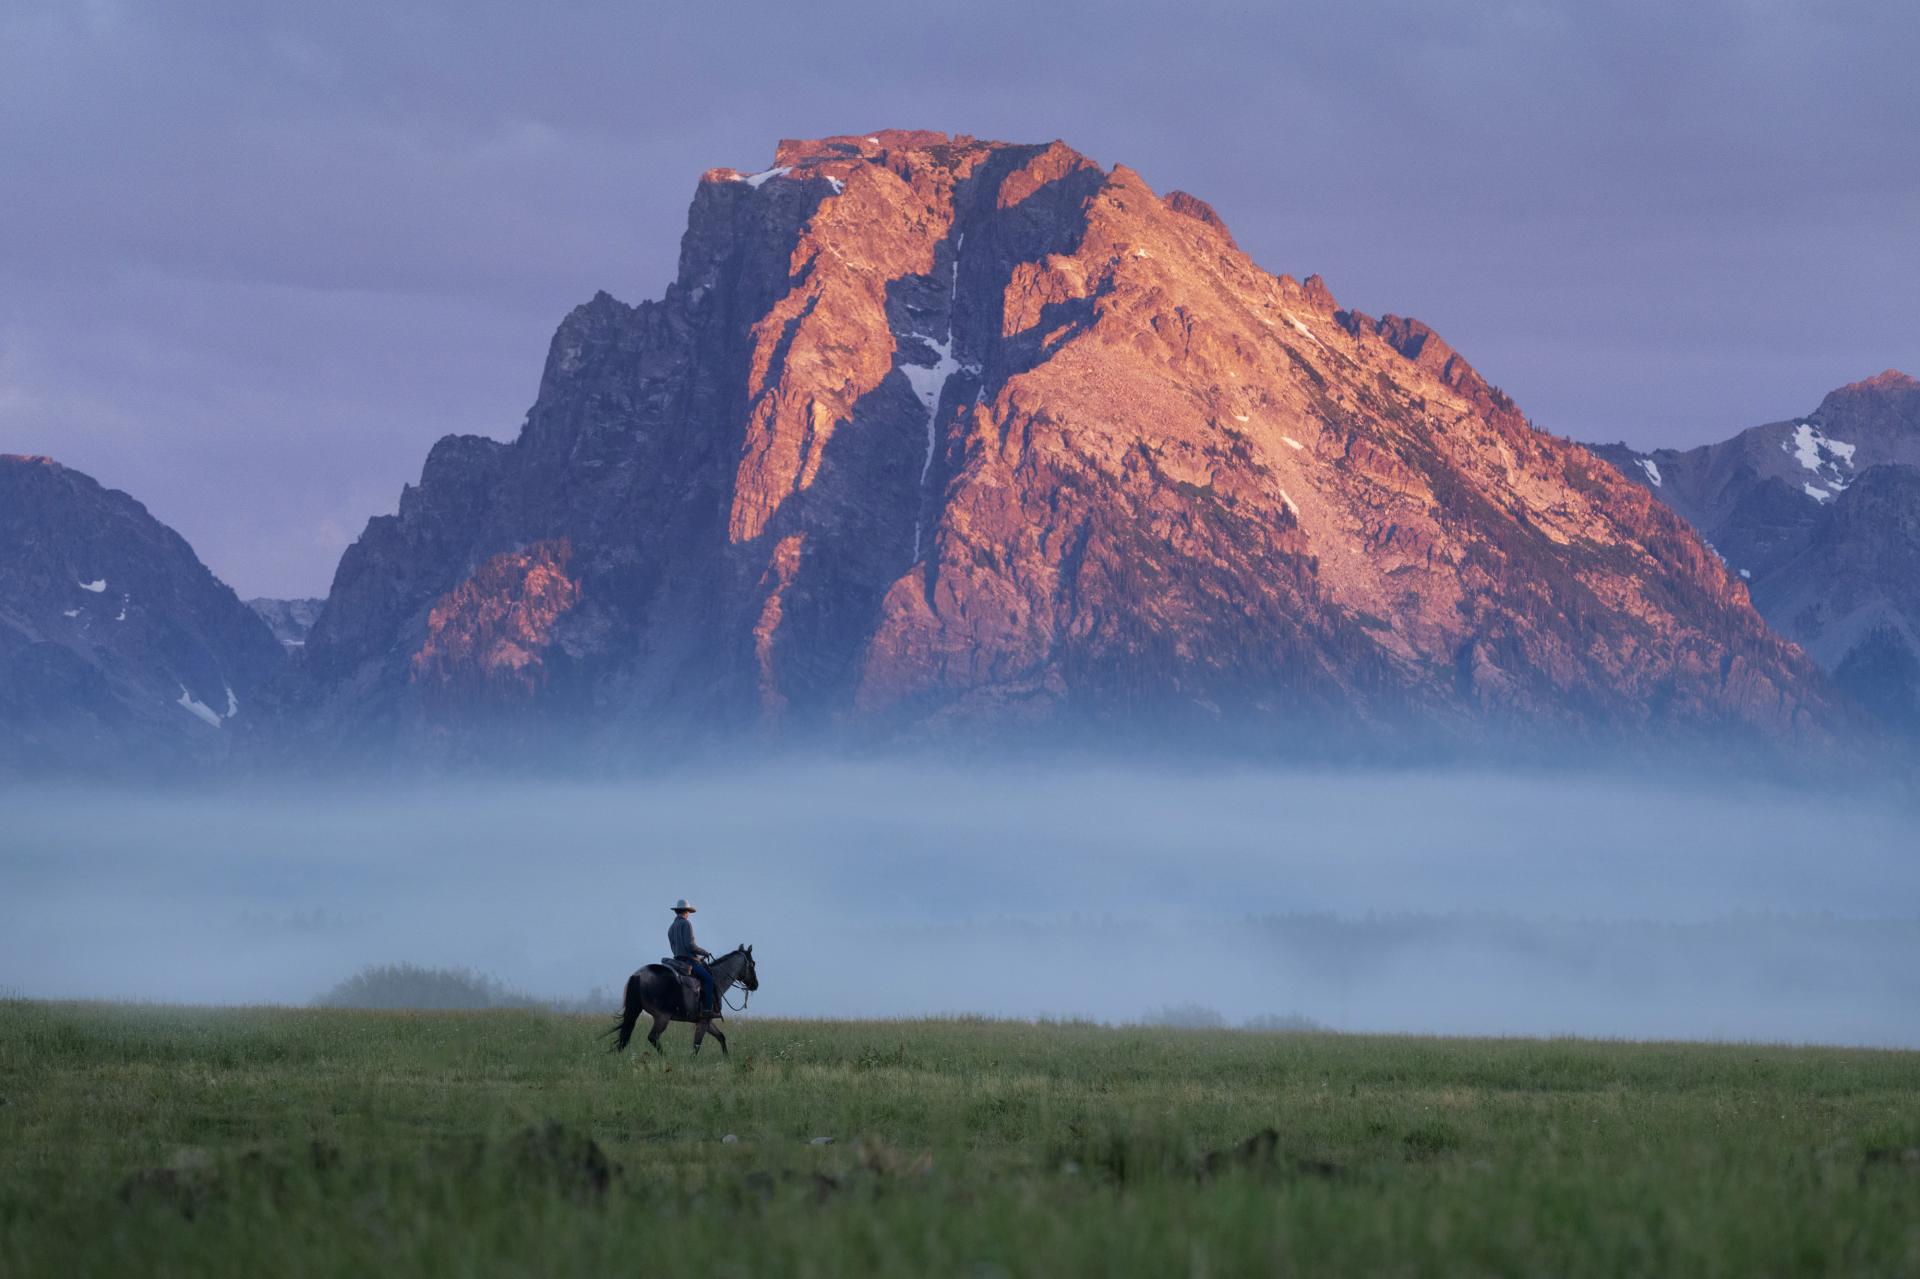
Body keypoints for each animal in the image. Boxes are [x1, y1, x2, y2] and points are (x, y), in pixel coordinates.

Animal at [606, 937, 756, 1052]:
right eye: (753, 964)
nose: (755, 985)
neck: (716, 979)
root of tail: (638, 975)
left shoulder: (707, 1022)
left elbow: (721, 1037)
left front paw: (727, 1058)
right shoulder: (704, 1021)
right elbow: (696, 1045)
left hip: (638, 1010)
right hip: (662, 1017)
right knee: (653, 1037)